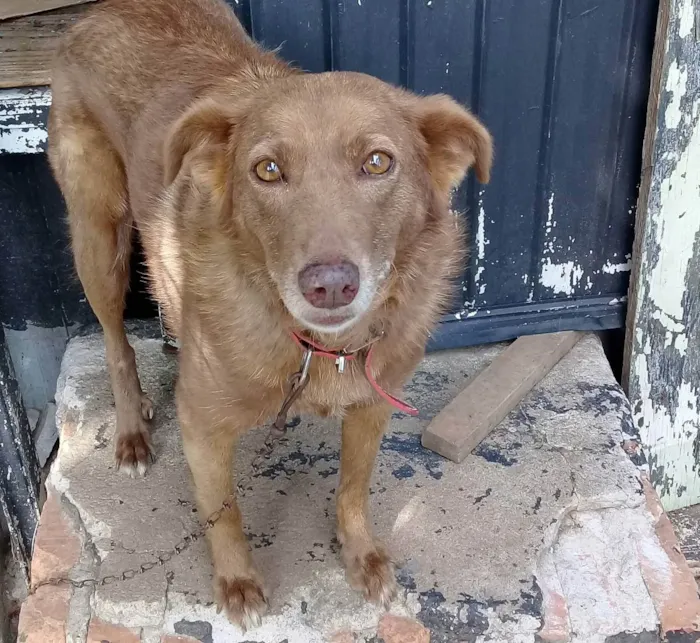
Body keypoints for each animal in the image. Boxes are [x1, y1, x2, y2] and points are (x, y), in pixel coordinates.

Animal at [47, 0, 492, 632]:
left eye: (378, 162)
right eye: (268, 170)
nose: (329, 285)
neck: (319, 350)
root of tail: (107, 9)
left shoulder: (373, 404)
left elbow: (354, 488)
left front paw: (360, 556)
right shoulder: (202, 425)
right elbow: (223, 511)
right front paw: (237, 583)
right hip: (98, 234)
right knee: (114, 340)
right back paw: (132, 428)